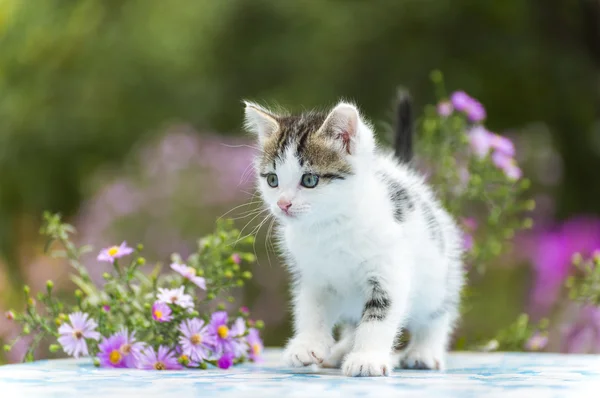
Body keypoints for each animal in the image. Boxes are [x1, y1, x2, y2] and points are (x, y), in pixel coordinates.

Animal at [244, 93, 464, 376]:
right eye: (272, 180)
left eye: (309, 180)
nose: (282, 204)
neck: (330, 227)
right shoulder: (313, 276)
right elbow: (312, 309)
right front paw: (307, 345)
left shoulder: (389, 271)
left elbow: (379, 316)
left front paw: (367, 358)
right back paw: (340, 351)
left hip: (437, 272)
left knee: (437, 312)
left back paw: (424, 352)